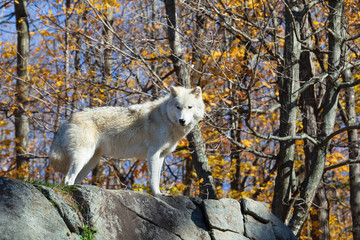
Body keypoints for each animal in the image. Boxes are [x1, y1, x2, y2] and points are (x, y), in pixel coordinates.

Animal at [48, 86, 204, 195]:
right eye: (178, 107)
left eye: (189, 107)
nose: (182, 120)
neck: (165, 117)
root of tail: (68, 118)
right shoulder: (153, 153)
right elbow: (153, 178)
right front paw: (157, 194)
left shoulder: (162, 155)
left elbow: (157, 177)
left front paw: (160, 193)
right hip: (82, 157)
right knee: (67, 179)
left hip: (91, 162)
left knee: (73, 180)